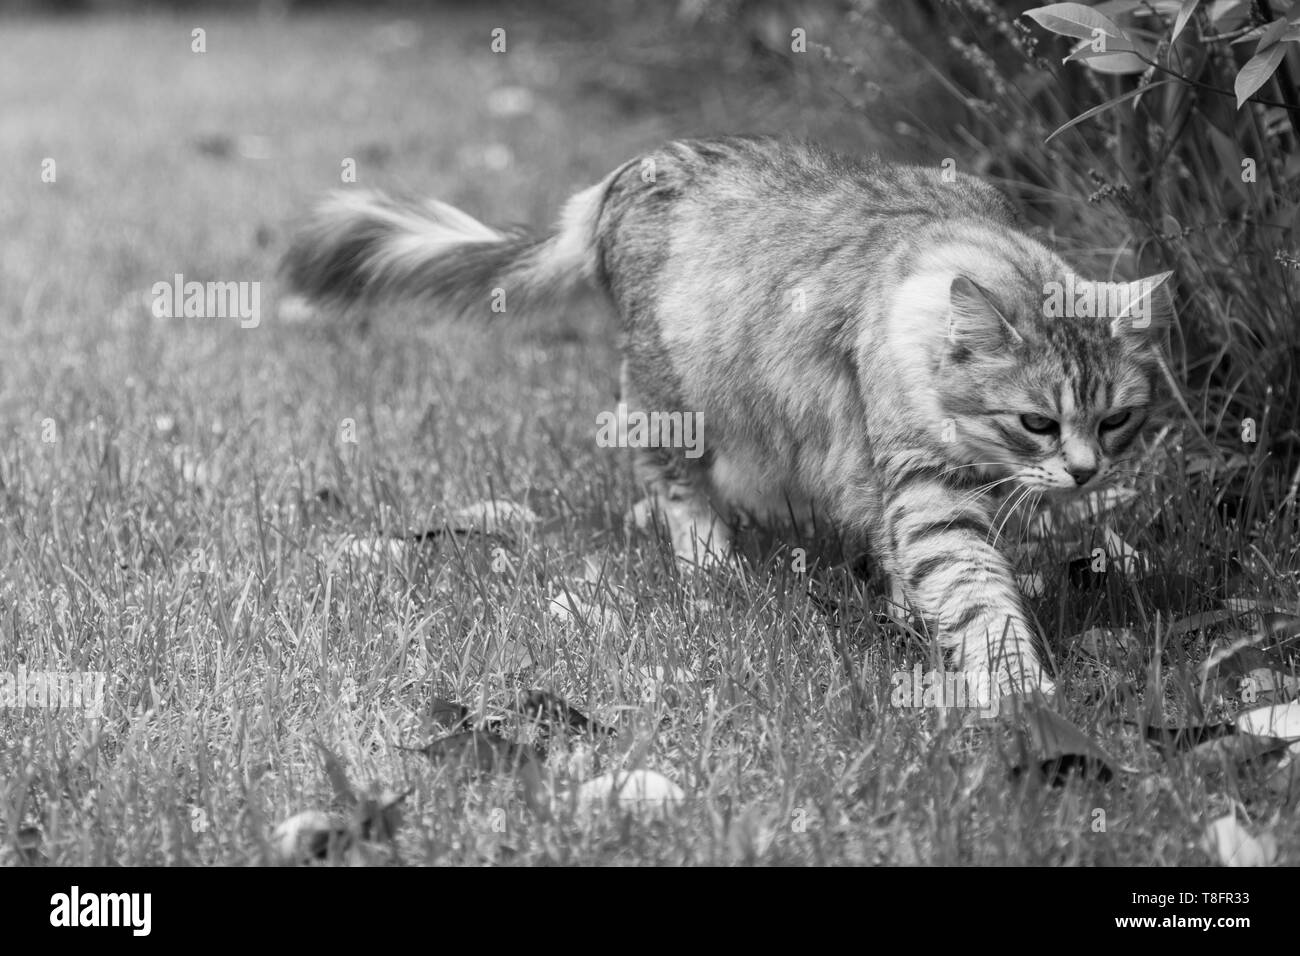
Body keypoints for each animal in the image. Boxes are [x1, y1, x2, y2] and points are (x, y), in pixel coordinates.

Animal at [279, 134, 1175, 697]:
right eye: (1038, 422)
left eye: (1116, 422)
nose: (1086, 472)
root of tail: (622, 176)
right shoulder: (928, 495)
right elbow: (978, 596)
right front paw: (1020, 691)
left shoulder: (901, 491)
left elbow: (914, 572)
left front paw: (909, 622)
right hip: (667, 396)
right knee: (675, 484)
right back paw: (710, 564)